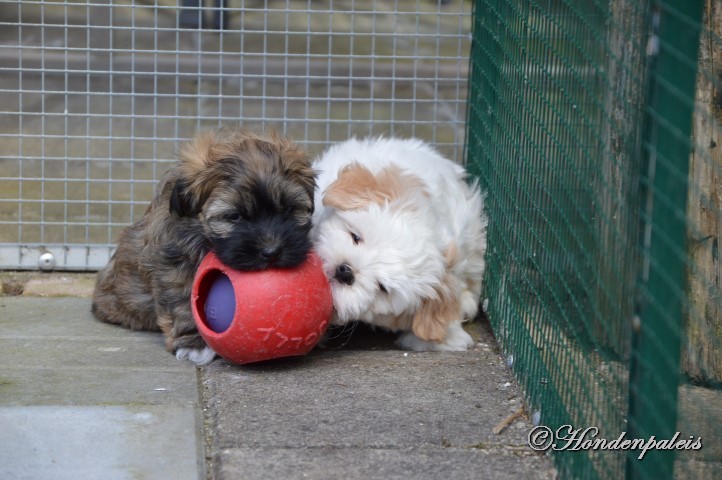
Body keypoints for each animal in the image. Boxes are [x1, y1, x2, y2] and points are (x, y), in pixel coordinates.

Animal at [90, 124, 316, 364]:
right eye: (234, 216)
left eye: (289, 210)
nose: (271, 252)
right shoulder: (173, 264)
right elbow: (183, 301)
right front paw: (193, 342)